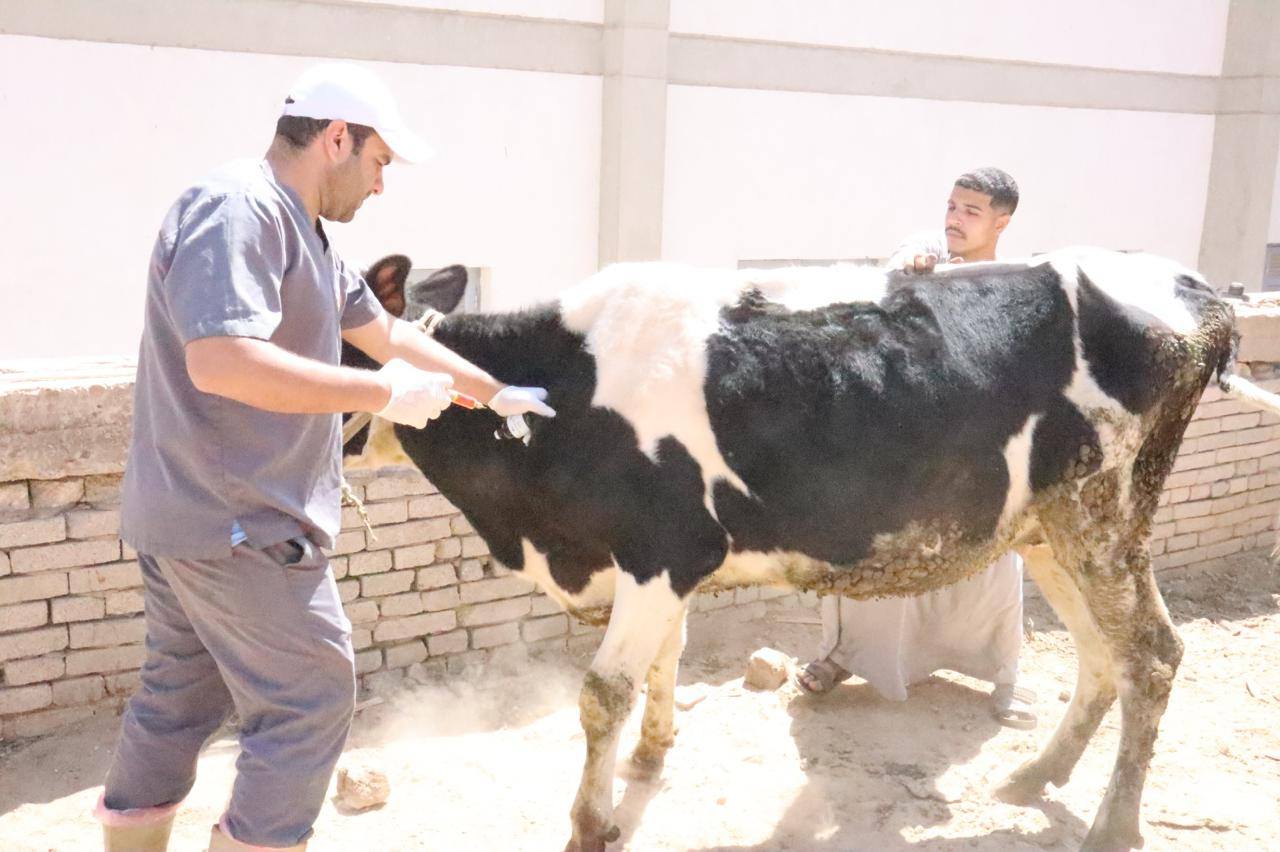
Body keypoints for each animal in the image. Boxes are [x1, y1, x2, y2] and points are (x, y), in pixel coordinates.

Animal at [345, 248, 1278, 851]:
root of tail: (1192, 286)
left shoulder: (662, 548)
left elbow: (603, 692)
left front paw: (589, 824)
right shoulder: (669, 567)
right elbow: (664, 662)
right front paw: (651, 759)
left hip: (1104, 510)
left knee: (1151, 654)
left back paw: (1114, 826)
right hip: (1051, 523)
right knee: (1100, 653)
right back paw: (1036, 776)